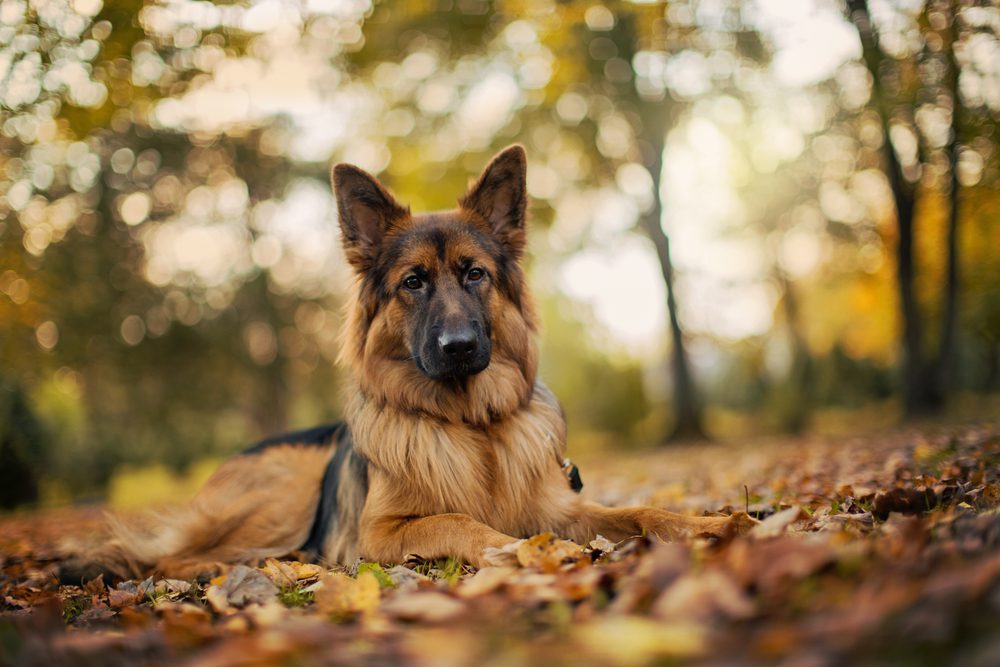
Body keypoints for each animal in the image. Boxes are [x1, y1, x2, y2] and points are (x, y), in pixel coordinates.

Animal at [70, 145, 752, 580]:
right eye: (413, 282)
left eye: (475, 275)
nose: (459, 347)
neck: (472, 427)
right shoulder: (379, 533)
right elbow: (455, 519)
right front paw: (517, 551)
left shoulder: (565, 509)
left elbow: (640, 512)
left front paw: (704, 523)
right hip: (283, 493)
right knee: (167, 556)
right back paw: (224, 565)